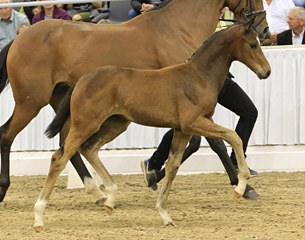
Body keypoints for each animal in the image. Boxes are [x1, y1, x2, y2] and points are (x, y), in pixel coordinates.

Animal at [0, 0, 268, 202]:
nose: (265, 30)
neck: (177, 28)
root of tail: (18, 39)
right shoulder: (187, 110)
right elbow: (214, 143)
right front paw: (243, 185)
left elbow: (190, 143)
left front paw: (153, 173)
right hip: (30, 103)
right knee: (7, 135)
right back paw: (4, 189)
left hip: (64, 105)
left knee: (66, 144)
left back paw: (97, 192)